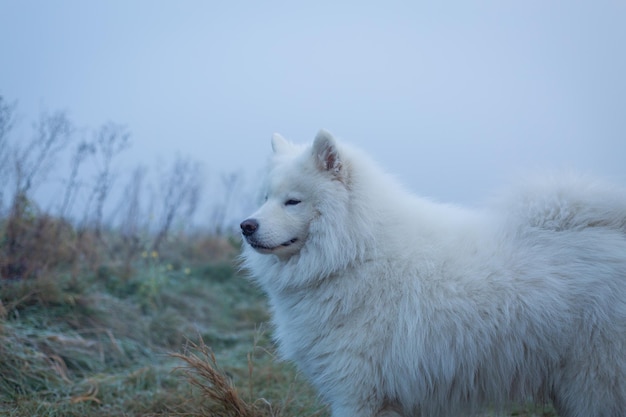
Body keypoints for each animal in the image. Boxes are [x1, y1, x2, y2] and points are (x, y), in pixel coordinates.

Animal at [240, 131, 624, 416]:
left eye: (293, 201)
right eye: (265, 197)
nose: (246, 225)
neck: (357, 253)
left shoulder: (359, 393)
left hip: (595, 385)